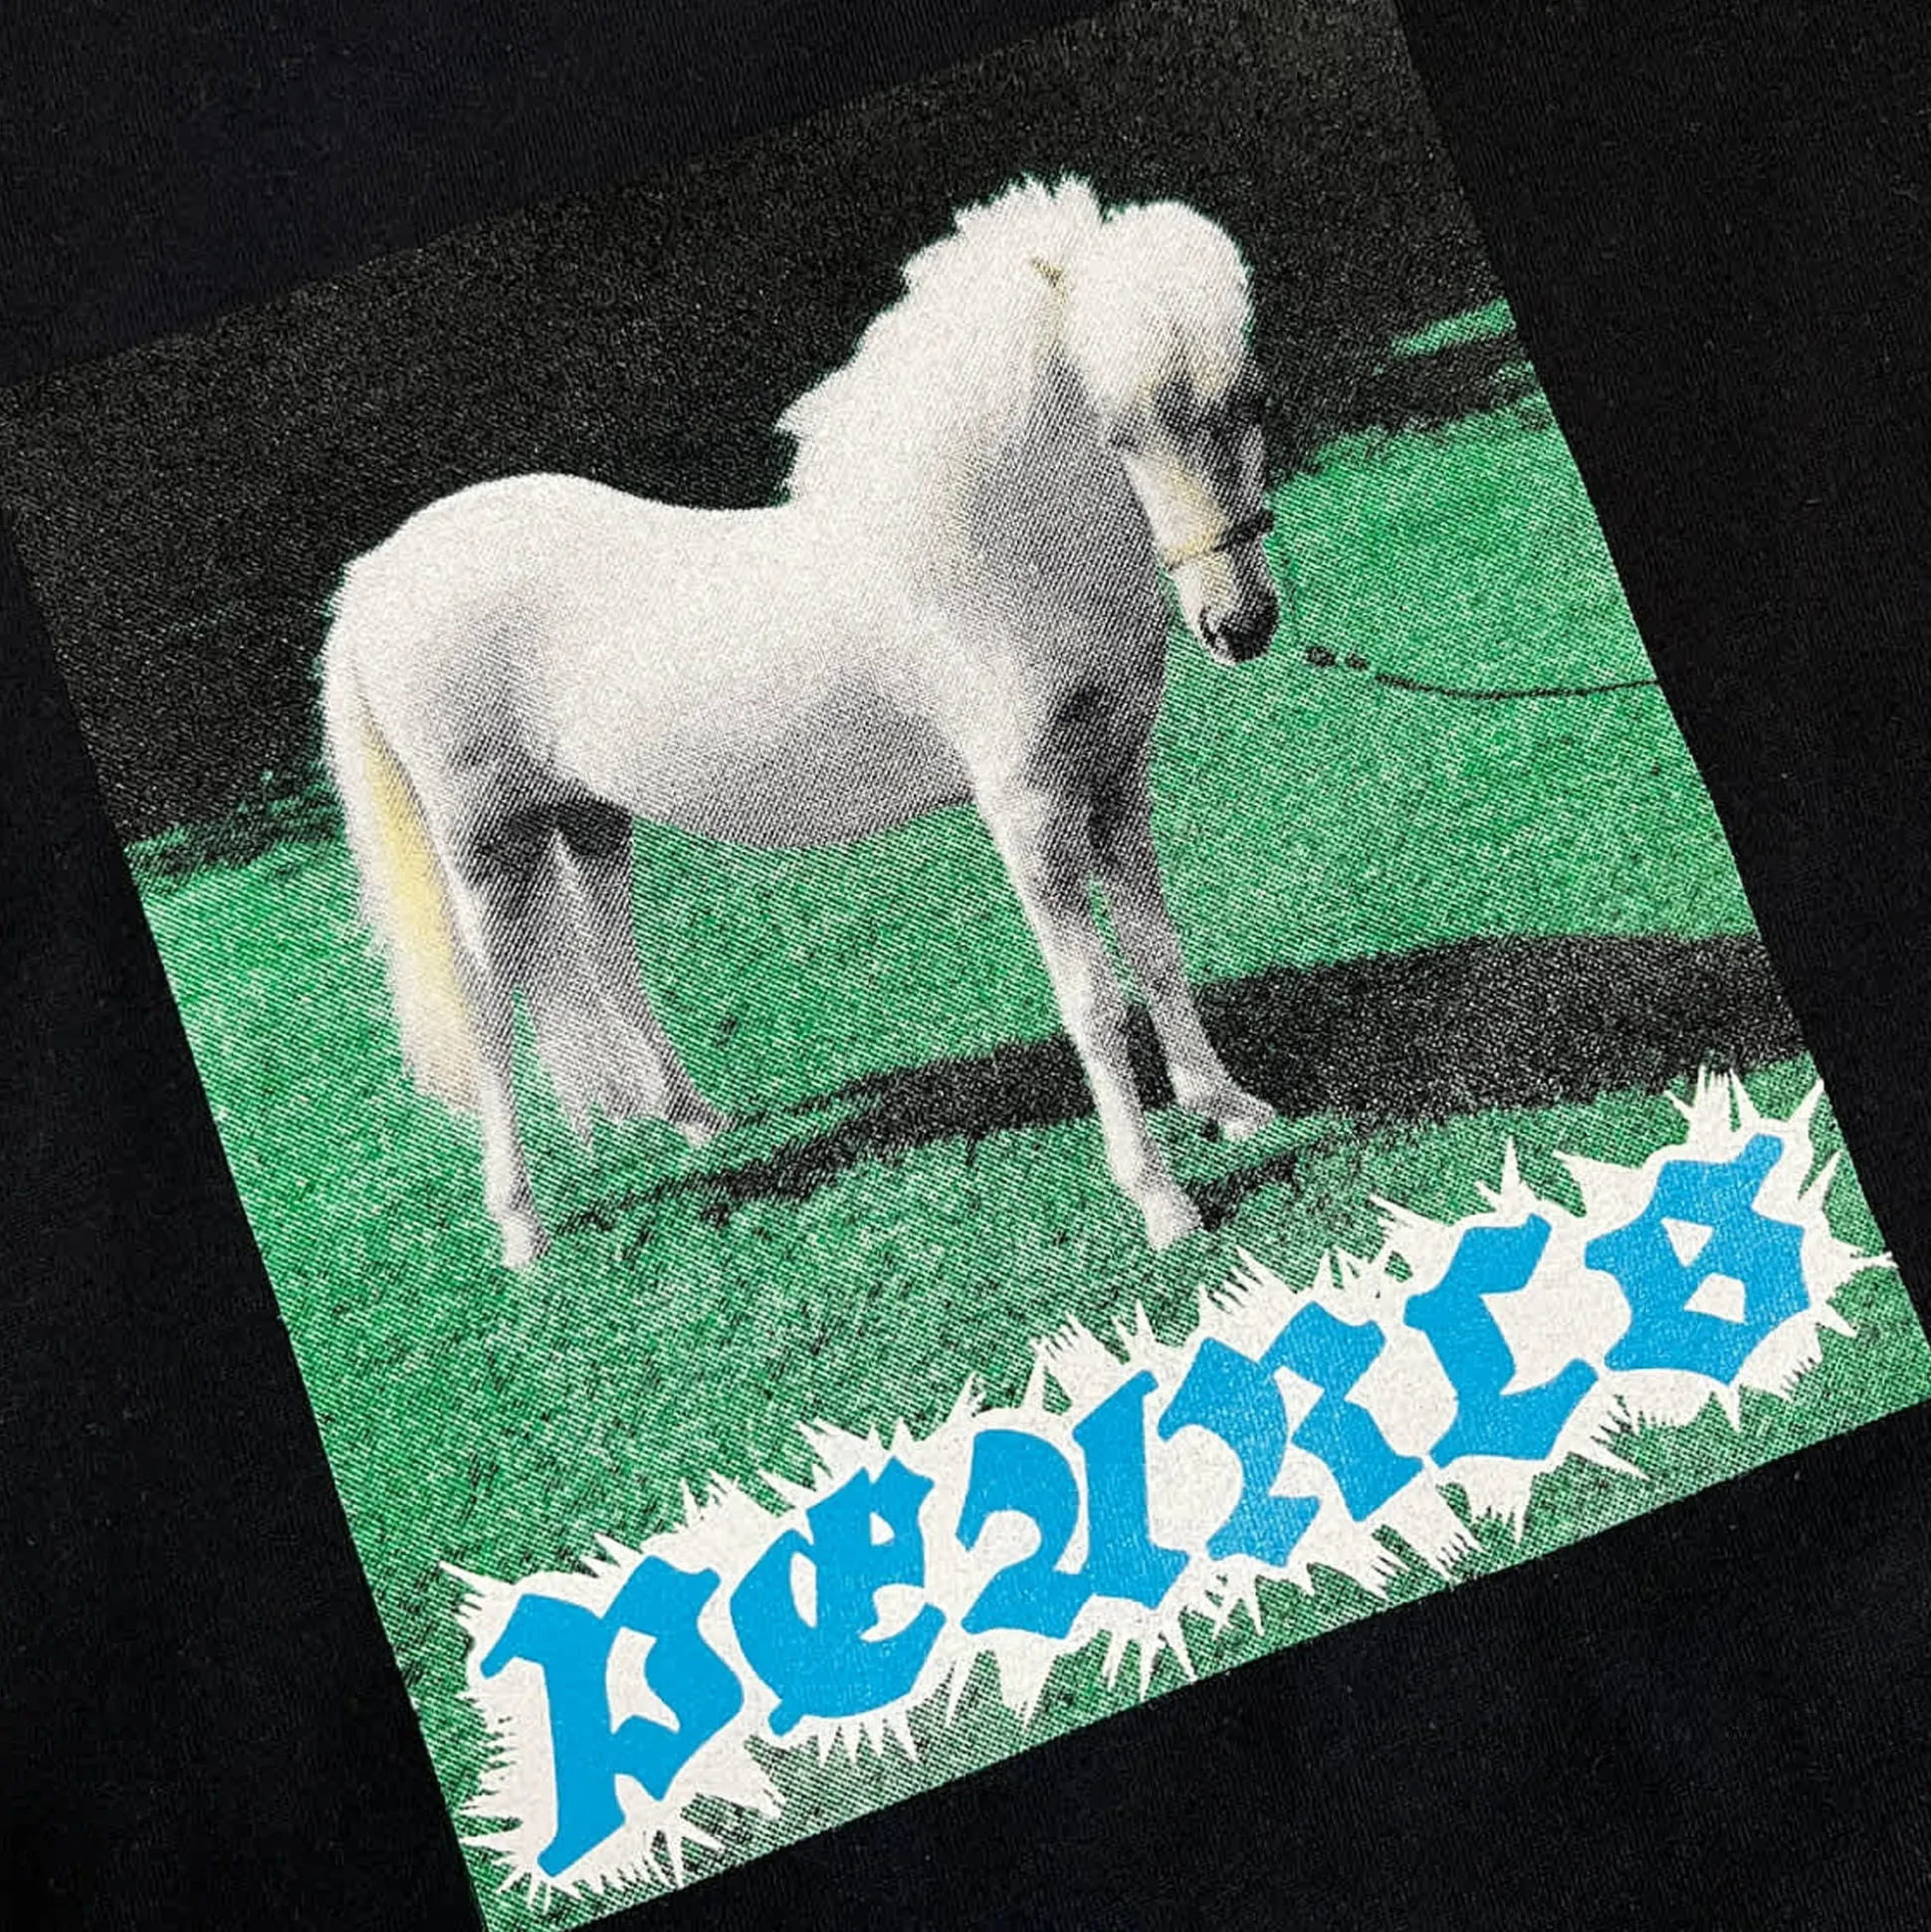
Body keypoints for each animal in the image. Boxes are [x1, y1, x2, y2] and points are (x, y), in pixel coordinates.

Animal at [320, 175, 1282, 1270]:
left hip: (585, 815)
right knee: (486, 1007)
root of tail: (377, 575)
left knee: (610, 956)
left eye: (1251, 400)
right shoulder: (1031, 813)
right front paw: (1160, 1200)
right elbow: (1092, 999)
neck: (988, 566)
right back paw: (522, 1231)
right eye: (1118, 430)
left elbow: (1158, 952)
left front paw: (1228, 1106)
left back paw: (695, 1121)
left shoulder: (1115, 781)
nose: (1241, 625)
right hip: (482, 845)